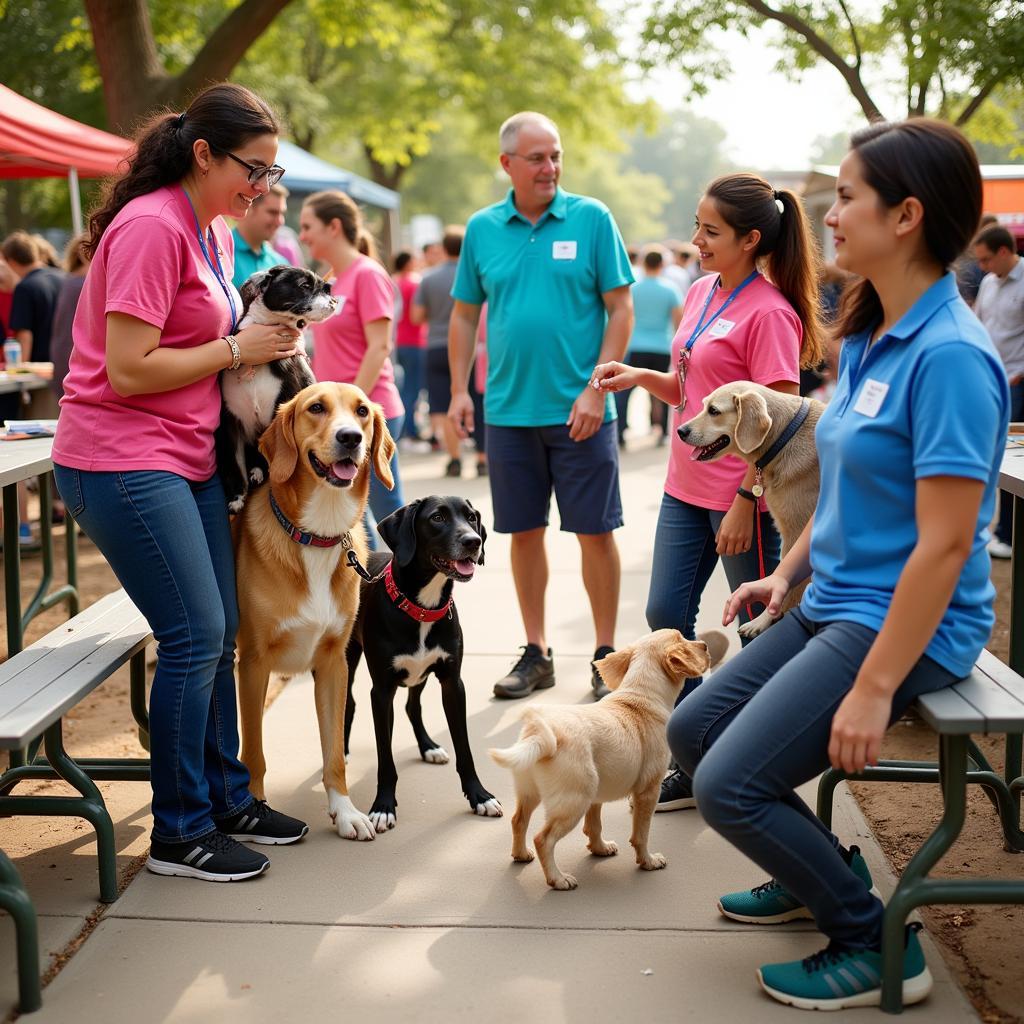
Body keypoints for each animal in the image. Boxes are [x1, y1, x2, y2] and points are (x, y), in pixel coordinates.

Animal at [214, 264, 337, 512]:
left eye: (324, 287)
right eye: (305, 285)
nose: (334, 300)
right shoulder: (230, 424)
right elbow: (234, 464)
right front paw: (236, 497)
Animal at [234, 382, 393, 839]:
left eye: (362, 411)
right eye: (316, 408)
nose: (350, 438)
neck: (318, 534)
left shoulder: (333, 664)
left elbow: (334, 753)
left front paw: (345, 811)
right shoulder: (253, 664)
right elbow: (254, 751)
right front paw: (256, 808)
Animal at [346, 495, 501, 831]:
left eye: (471, 517)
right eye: (437, 518)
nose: (474, 541)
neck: (421, 606)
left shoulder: (452, 683)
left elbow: (464, 749)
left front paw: (479, 796)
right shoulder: (381, 692)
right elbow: (385, 757)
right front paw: (383, 806)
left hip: (421, 674)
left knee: (411, 706)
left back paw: (428, 746)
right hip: (347, 658)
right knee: (347, 703)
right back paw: (344, 750)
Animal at [487, 622, 704, 888]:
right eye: (684, 638)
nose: (705, 645)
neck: (640, 693)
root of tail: (540, 738)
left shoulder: (597, 797)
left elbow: (594, 826)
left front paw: (599, 849)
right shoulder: (647, 792)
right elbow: (640, 834)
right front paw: (648, 861)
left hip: (533, 793)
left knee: (518, 821)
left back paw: (520, 854)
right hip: (575, 800)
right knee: (543, 839)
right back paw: (558, 878)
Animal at [679, 380, 823, 634]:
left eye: (714, 411)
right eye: (705, 405)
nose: (680, 431)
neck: (784, 438)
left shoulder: (796, 533)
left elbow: (784, 584)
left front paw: (764, 620)